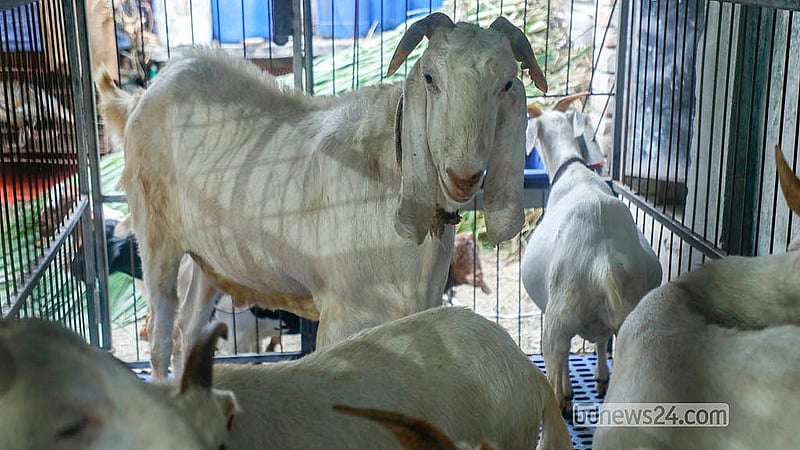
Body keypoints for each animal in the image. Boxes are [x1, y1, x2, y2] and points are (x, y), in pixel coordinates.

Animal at [96, 13, 547, 379]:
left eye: (508, 83)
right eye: (430, 78)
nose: (463, 175)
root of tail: (148, 91)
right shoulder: (343, 315)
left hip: (209, 255)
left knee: (188, 329)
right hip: (155, 230)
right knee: (160, 335)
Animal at [520, 94, 663, 415]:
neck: (574, 171)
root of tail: (604, 263)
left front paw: (571, 389)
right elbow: (600, 341)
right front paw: (600, 378)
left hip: (558, 318)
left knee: (556, 360)